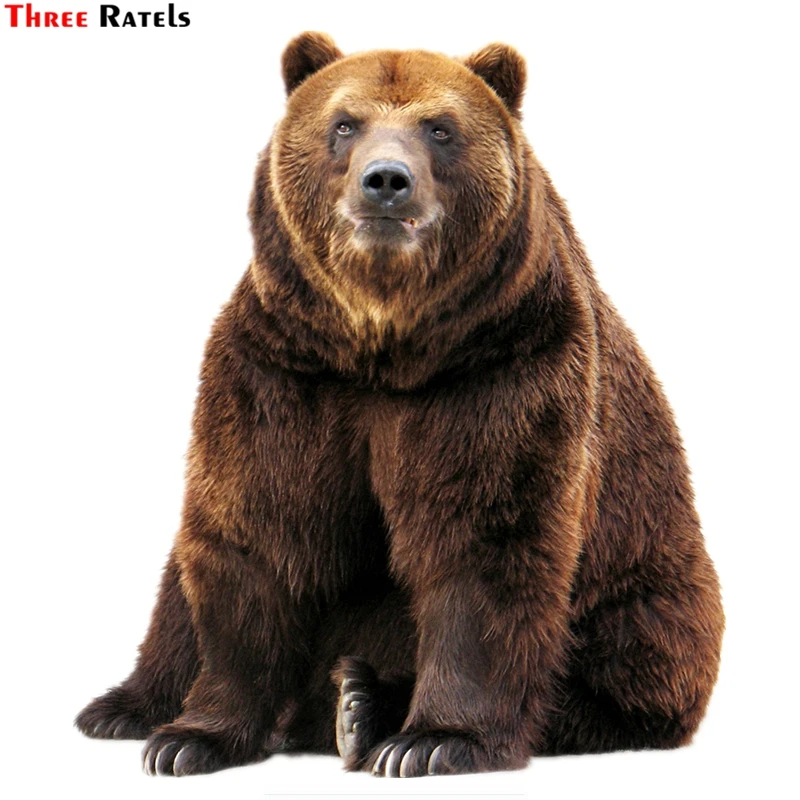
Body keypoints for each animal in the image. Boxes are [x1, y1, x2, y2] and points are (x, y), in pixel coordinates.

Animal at [76, 32, 724, 778]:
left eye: (440, 128)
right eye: (344, 123)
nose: (386, 180)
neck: (383, 344)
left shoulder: (500, 369)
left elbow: (484, 541)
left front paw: (435, 739)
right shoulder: (283, 371)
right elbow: (257, 530)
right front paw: (191, 737)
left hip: (648, 587)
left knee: (622, 660)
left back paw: (362, 705)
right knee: (177, 589)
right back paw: (126, 706)